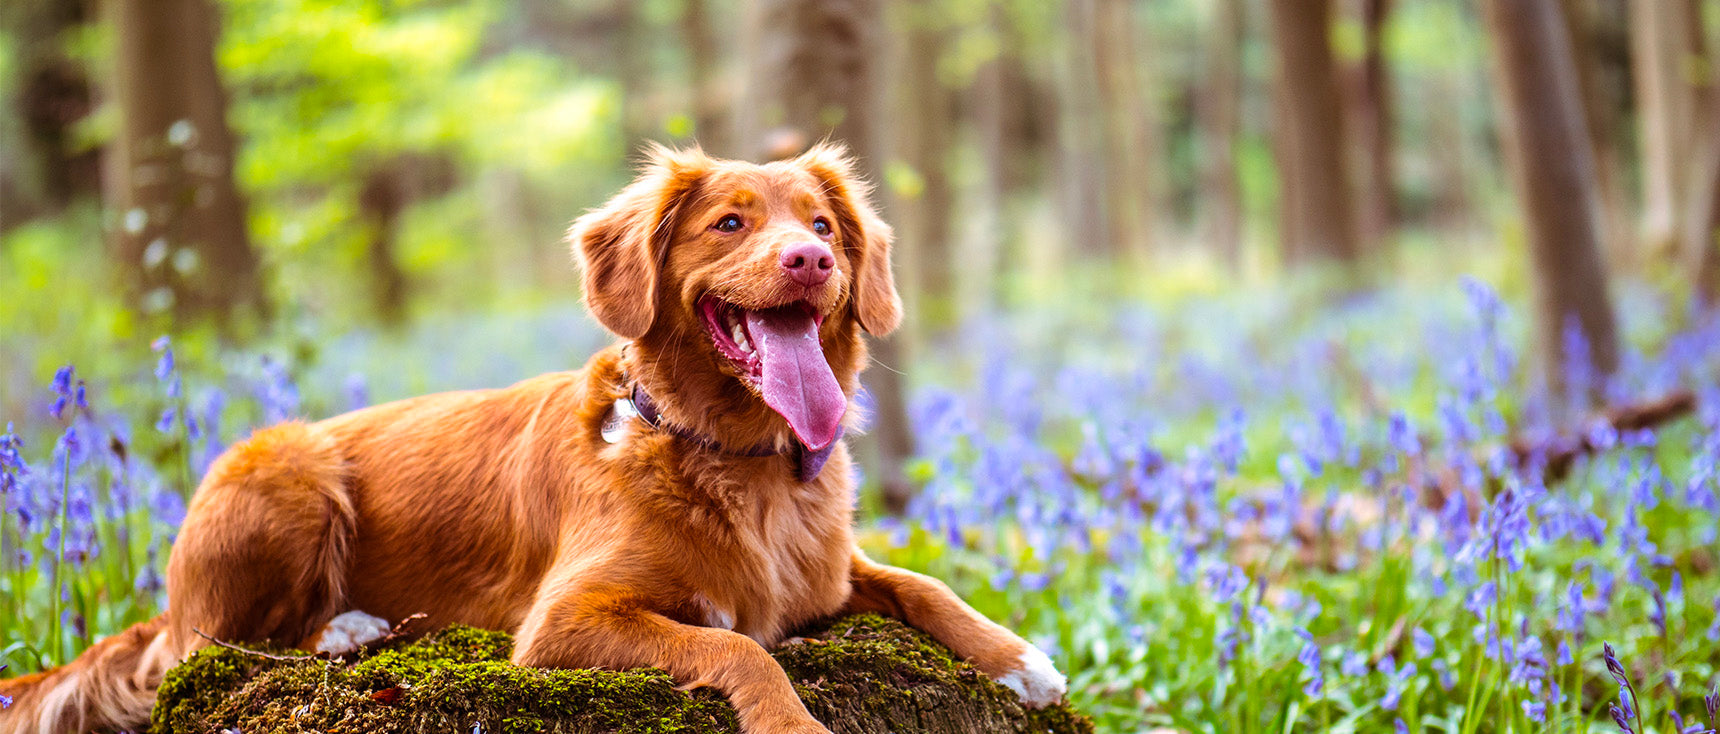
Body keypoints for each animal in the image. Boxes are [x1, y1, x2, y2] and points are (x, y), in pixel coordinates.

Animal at [0, 145, 1059, 734]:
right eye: (730, 223)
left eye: (826, 226)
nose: (810, 260)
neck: (735, 459)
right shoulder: (562, 624)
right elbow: (739, 648)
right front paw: (792, 724)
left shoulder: (829, 576)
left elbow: (921, 583)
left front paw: (1022, 660)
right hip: (285, 468)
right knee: (208, 649)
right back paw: (345, 628)